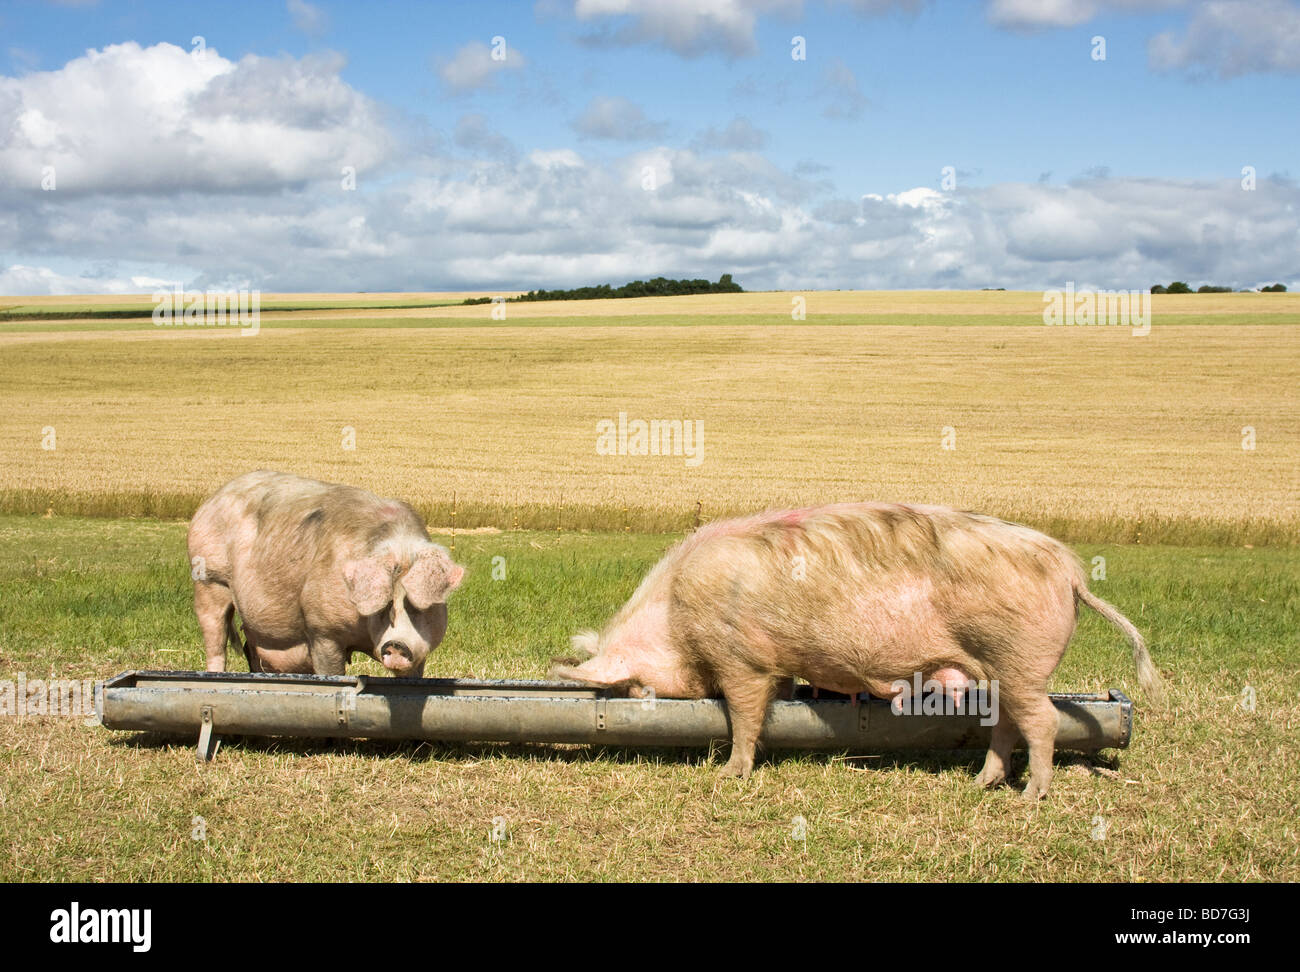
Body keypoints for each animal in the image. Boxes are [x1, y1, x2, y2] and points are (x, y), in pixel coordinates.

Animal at [188, 470, 462, 675]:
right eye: (385, 607)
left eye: (418, 607)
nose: (395, 645)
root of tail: (212, 499)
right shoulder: (321, 630)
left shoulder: (420, 653)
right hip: (209, 580)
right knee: (216, 643)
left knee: (250, 649)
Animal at [553, 501, 1164, 795]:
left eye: (634, 686)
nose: (637, 704)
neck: (676, 616)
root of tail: (1071, 573)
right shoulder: (775, 665)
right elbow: (781, 695)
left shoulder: (742, 657)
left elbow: (746, 715)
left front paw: (728, 775)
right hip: (997, 670)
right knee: (1008, 725)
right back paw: (981, 784)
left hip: (1020, 659)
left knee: (1041, 722)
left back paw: (1030, 796)